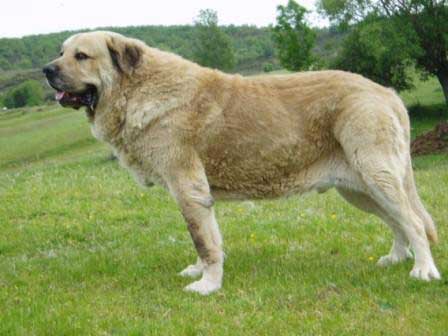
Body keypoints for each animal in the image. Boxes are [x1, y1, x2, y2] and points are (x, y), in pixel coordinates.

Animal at [43, 31, 442, 294]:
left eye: (81, 56)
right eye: (61, 52)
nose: (47, 70)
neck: (137, 90)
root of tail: (385, 92)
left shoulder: (188, 188)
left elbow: (204, 241)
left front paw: (208, 286)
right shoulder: (191, 195)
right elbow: (204, 240)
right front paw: (201, 273)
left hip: (377, 177)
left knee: (412, 221)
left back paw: (423, 270)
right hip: (360, 190)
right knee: (398, 222)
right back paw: (396, 258)